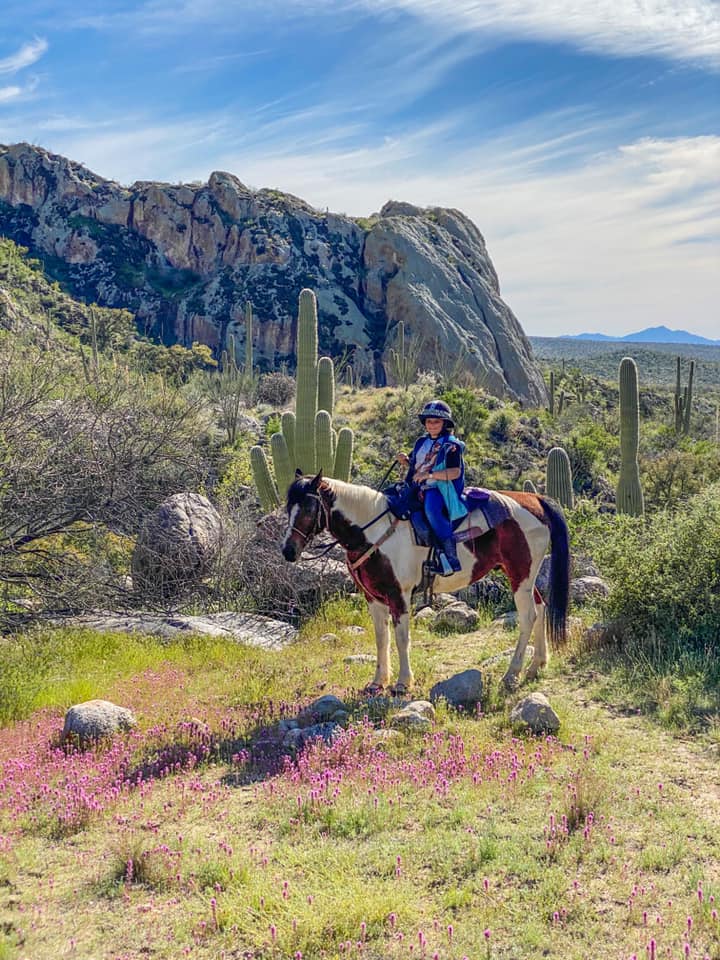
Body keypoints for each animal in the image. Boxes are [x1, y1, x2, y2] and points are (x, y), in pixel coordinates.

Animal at [282, 474, 568, 692]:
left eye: (309, 508)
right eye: (288, 508)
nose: (288, 551)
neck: (373, 533)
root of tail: (536, 500)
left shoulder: (399, 596)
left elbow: (401, 639)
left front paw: (402, 683)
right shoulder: (373, 598)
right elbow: (381, 639)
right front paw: (378, 682)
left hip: (520, 575)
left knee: (528, 616)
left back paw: (512, 674)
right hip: (524, 576)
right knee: (540, 607)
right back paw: (536, 666)